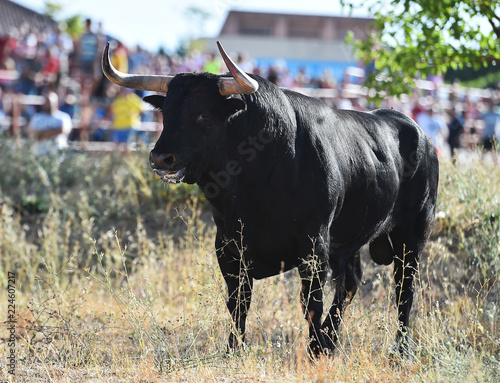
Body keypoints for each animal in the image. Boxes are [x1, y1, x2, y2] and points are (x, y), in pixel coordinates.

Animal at [102, 43, 438, 356]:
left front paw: (312, 349)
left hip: (414, 234)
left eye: (203, 114)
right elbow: (238, 301)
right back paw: (332, 340)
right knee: (352, 281)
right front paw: (234, 348)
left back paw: (398, 349)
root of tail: (418, 132)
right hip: (350, 239)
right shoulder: (228, 246)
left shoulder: (314, 244)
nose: (161, 157)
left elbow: (310, 302)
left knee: (404, 289)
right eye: (166, 112)